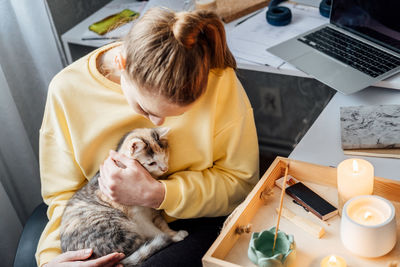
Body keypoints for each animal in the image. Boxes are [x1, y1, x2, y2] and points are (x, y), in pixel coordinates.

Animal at [60, 129, 188, 266]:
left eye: (164, 156)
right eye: (152, 163)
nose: (165, 168)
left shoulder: (153, 210)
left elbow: (162, 224)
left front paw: (173, 233)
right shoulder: (138, 217)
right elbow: (155, 231)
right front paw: (174, 236)